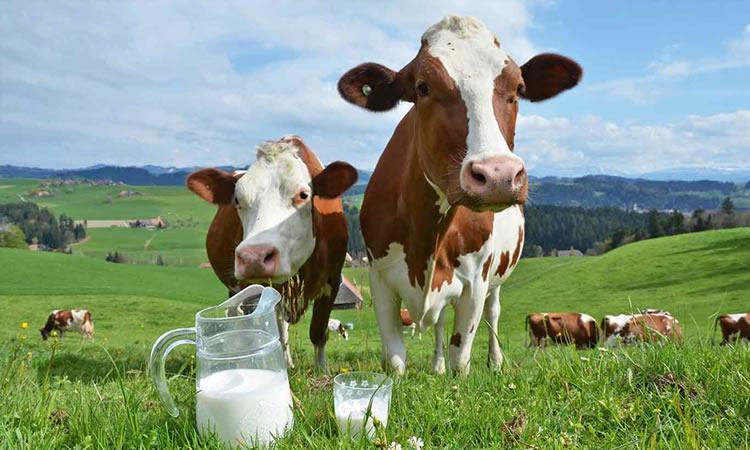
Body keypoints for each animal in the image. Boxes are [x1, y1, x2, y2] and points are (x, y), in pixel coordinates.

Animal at [186, 136, 357, 369]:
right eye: (237, 200)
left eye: (303, 194)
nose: (253, 257)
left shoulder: (332, 278)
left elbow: (318, 332)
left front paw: (321, 369)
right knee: (238, 316)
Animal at [338, 15, 582, 374]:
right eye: (423, 87)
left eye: (518, 89)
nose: (499, 175)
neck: (425, 236)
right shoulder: (380, 278)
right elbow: (396, 361)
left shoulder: (476, 283)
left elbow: (461, 359)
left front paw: (457, 374)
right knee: (439, 322)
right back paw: (437, 365)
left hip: (495, 279)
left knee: (493, 314)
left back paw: (495, 361)